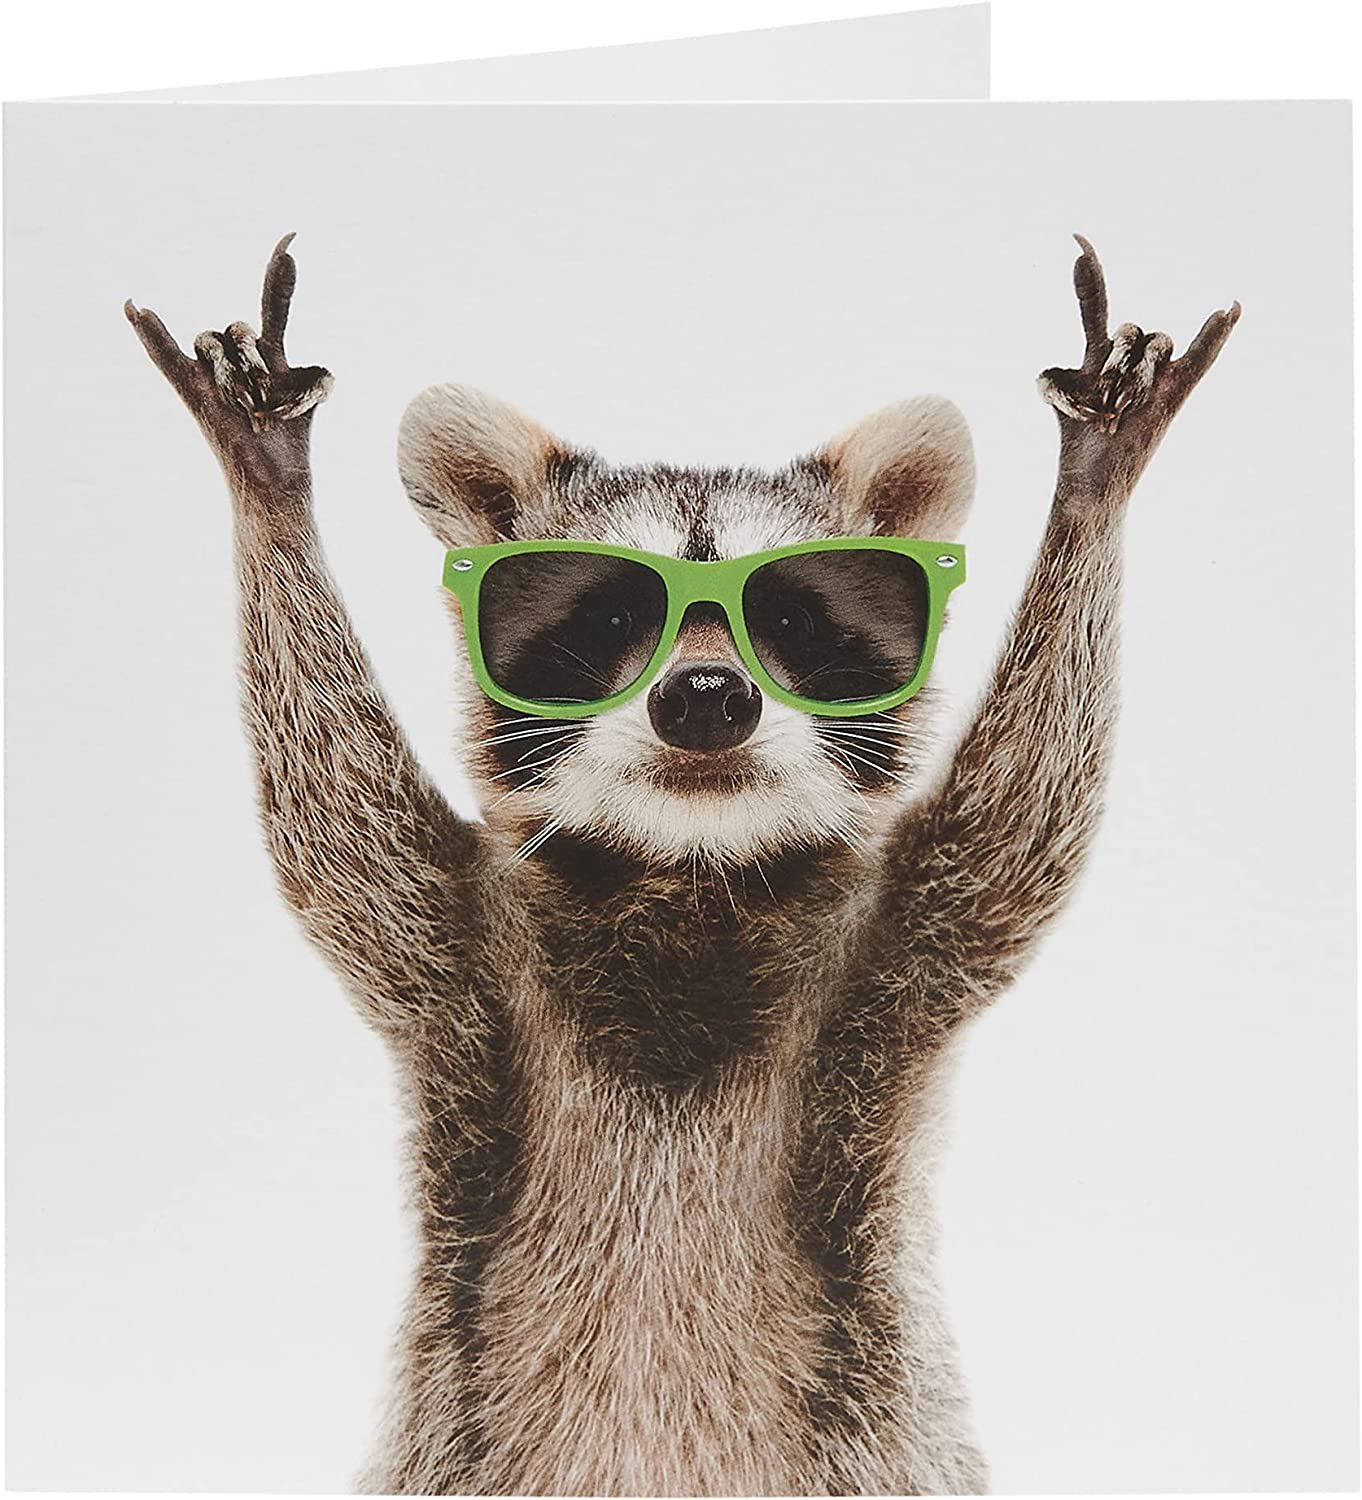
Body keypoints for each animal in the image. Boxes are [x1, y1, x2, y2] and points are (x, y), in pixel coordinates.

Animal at [125, 234, 1237, 1496]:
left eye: (793, 622)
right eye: (611, 618)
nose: (706, 696)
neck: (690, 871)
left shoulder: (898, 951)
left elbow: (1022, 824)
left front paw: (1093, 491)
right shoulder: (457, 953)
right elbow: (333, 825)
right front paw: (269, 493)